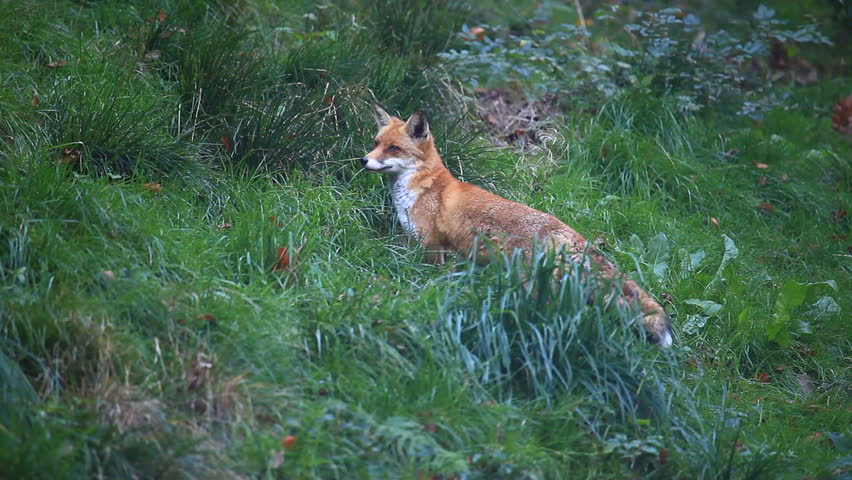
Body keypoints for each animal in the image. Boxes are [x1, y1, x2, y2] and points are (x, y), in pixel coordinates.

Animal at [361, 105, 674, 347]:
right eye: (376, 142)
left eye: (393, 148)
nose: (364, 160)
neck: (421, 186)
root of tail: (570, 232)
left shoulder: (432, 247)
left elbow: (427, 279)